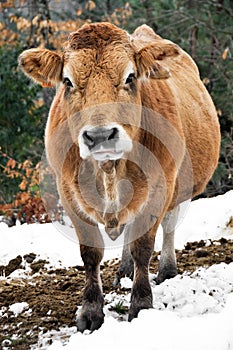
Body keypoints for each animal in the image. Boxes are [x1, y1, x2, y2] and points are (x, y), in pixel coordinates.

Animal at [18, 21, 220, 330]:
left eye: (130, 76)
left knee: (169, 226)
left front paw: (141, 304)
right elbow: (90, 253)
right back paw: (124, 271)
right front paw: (90, 310)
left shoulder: (160, 188)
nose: (100, 135)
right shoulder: (67, 194)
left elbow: (142, 247)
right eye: (67, 82)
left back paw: (167, 269)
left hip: (181, 187)